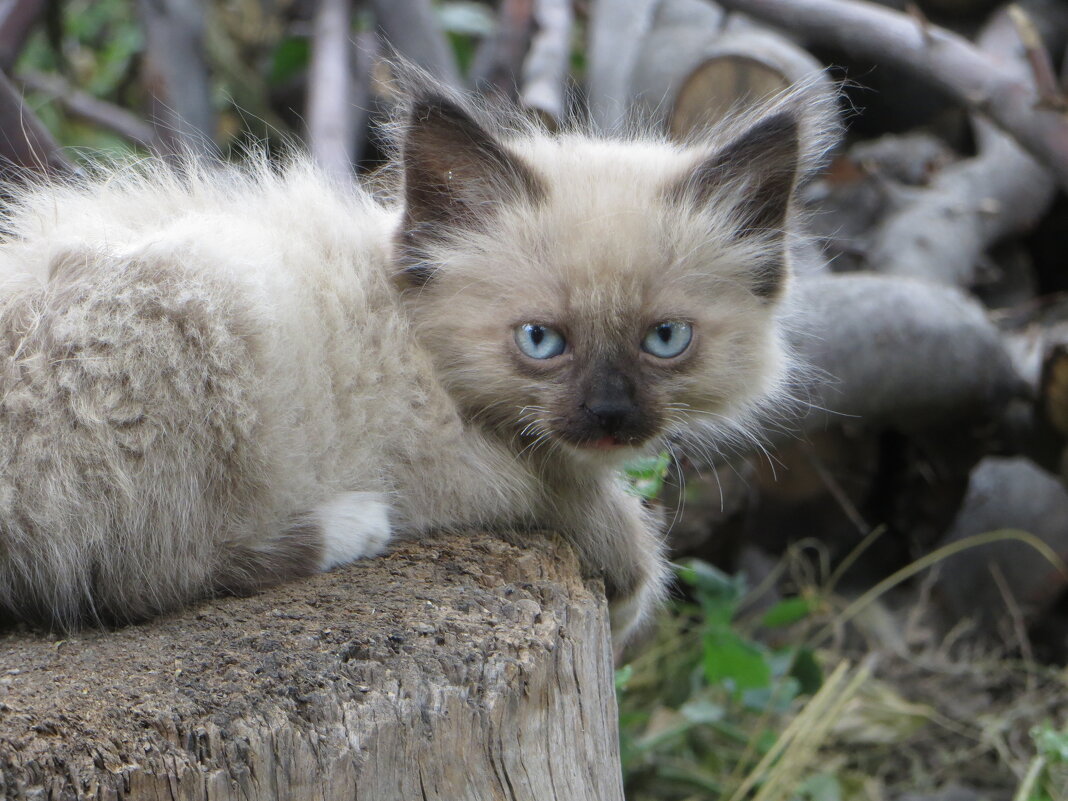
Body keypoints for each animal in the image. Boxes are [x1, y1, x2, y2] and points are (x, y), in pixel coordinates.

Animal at [0, 81, 833, 645]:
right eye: (541, 340)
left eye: (665, 339)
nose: (609, 415)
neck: (407, 322)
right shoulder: (463, 465)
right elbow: (596, 512)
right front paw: (632, 576)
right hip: (214, 295)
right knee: (137, 576)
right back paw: (352, 528)